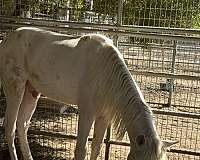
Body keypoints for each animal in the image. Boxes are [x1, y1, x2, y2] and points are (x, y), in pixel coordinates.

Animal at [0, 26, 175, 159]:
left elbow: (96, 147)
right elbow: (81, 149)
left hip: (31, 92)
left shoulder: (104, 117)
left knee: (22, 124)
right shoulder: (86, 113)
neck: (106, 74)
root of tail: (6, 40)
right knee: (10, 127)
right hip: (15, 90)